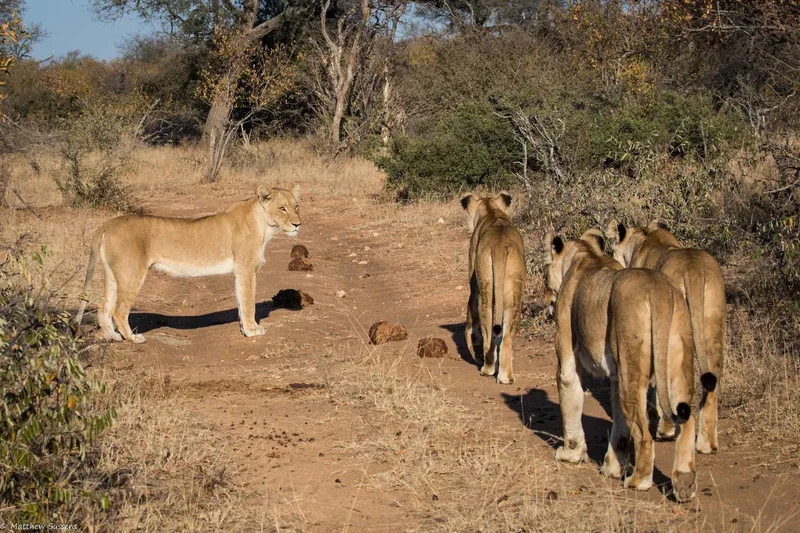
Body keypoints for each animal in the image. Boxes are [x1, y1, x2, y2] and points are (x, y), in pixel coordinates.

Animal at [74, 185, 302, 343]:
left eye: (296, 206)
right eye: (282, 208)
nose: (298, 224)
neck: (265, 226)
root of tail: (109, 223)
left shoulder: (239, 272)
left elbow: (240, 301)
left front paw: (245, 328)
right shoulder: (246, 270)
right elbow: (248, 303)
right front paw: (253, 330)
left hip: (113, 274)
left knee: (103, 306)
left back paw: (112, 336)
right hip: (131, 274)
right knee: (119, 310)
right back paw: (133, 338)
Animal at [461, 193, 526, 384]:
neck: (490, 210)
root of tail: (499, 245)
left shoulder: (474, 282)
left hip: (485, 289)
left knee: (488, 331)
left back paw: (488, 369)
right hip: (515, 290)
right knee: (506, 337)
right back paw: (506, 377)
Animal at [543, 229, 697, 502]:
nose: (545, 297)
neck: (585, 255)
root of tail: (659, 292)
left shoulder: (568, 358)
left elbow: (570, 396)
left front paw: (571, 454)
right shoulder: (617, 373)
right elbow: (620, 430)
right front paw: (612, 467)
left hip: (631, 368)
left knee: (644, 435)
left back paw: (639, 481)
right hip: (673, 361)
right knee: (687, 420)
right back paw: (684, 484)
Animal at [605, 220, 726, 454]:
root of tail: (694, 271)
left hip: (673, 327)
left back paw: (666, 430)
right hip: (712, 323)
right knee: (712, 383)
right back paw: (706, 444)